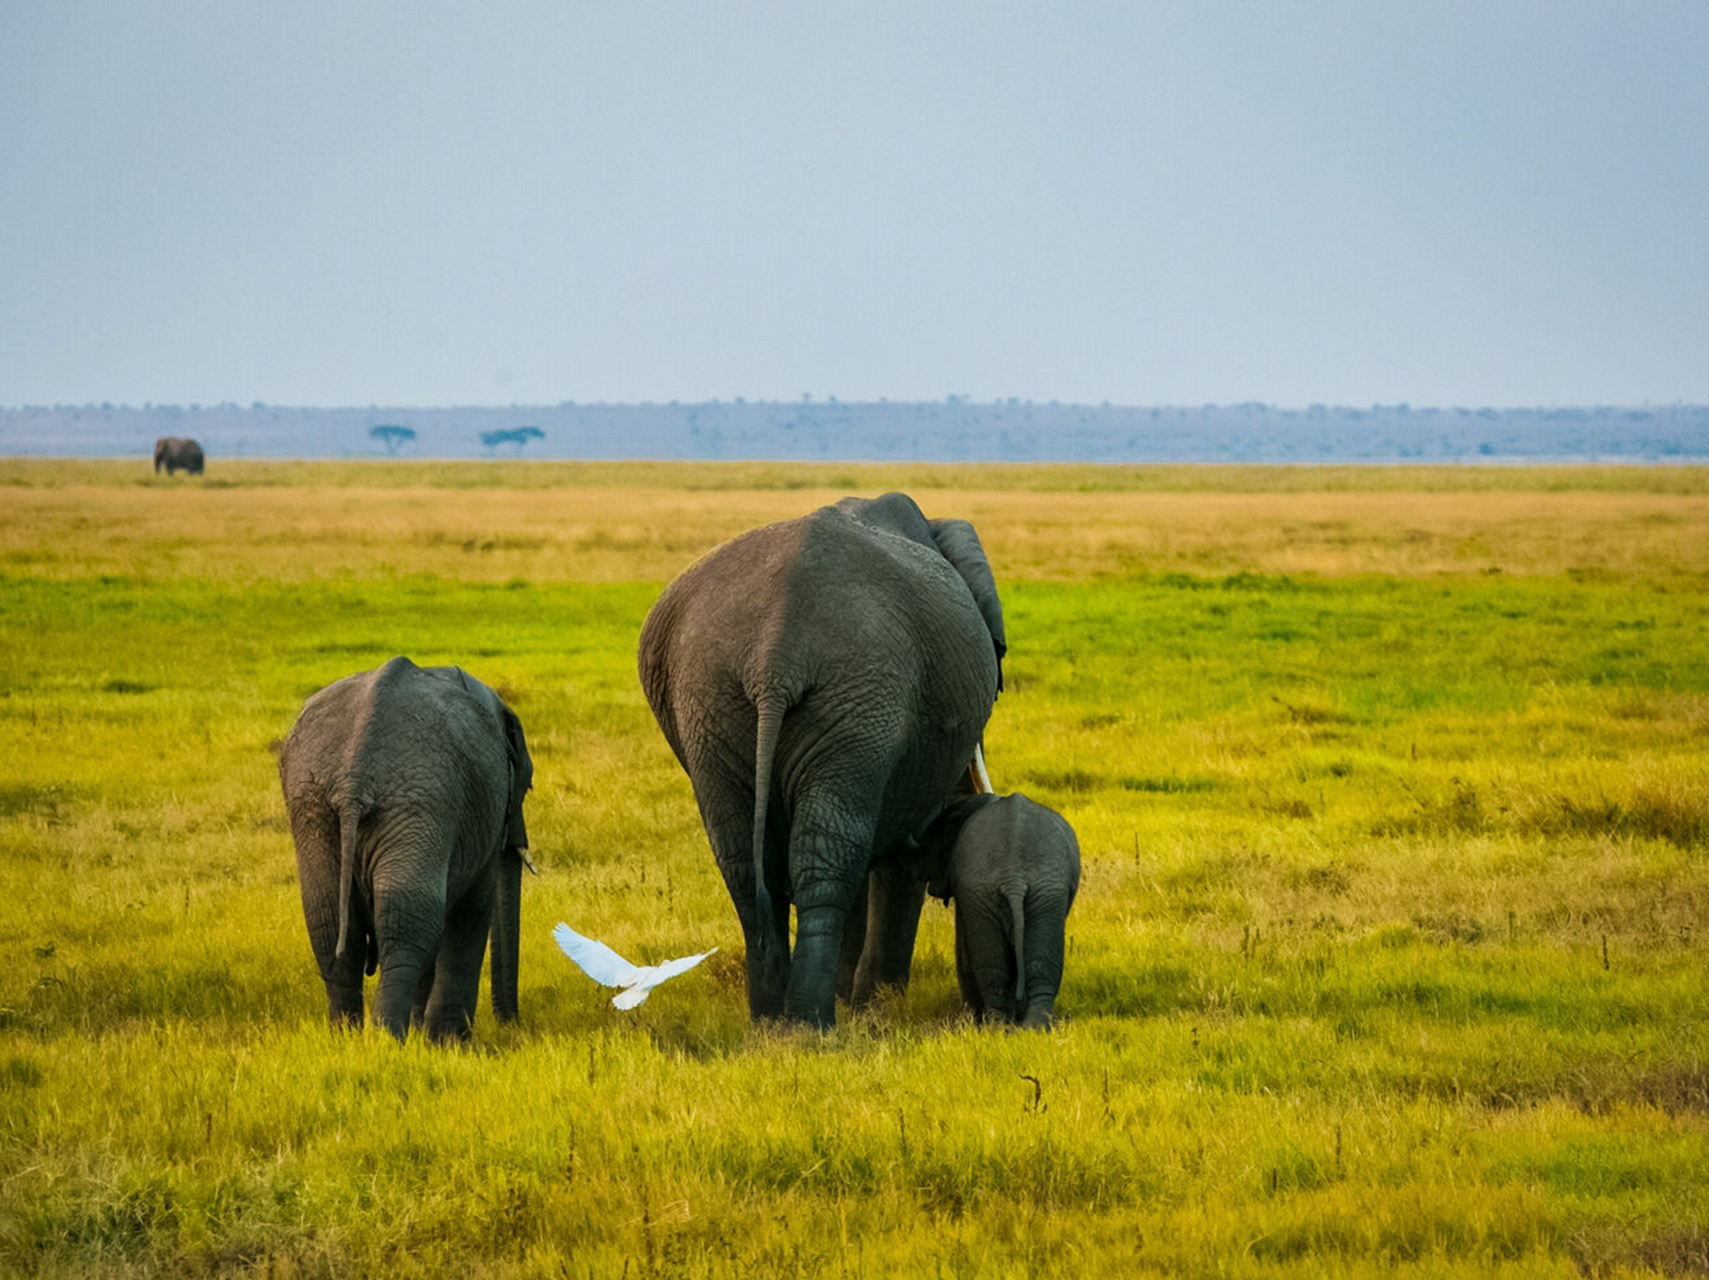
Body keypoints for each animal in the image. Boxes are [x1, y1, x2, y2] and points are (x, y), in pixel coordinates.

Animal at [276, 656, 534, 1041]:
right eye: (527, 786)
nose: (512, 1024)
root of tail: (354, 778)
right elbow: (471, 910)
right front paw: (451, 1044)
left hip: (314, 805)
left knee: (330, 923)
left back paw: (347, 1039)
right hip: (419, 801)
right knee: (407, 922)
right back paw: (387, 1040)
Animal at [638, 491, 1006, 1028]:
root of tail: (776, 656)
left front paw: (861, 999)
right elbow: (904, 852)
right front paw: (877, 1000)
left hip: (716, 704)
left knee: (751, 866)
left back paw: (774, 1021)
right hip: (856, 699)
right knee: (828, 859)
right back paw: (811, 1022)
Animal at [919, 793, 1080, 1029]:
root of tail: (1014, 878)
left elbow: (963, 953)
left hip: (1005, 892)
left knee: (993, 965)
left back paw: (997, 1027)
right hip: (1043, 893)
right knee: (1030, 962)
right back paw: (1031, 1028)